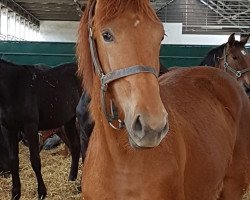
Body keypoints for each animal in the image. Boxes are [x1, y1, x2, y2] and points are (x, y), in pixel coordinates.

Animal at [0, 58, 81, 199]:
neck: (13, 88)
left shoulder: (30, 127)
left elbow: (35, 160)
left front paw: (42, 192)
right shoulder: (8, 129)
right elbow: (13, 160)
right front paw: (15, 194)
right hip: (69, 120)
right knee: (75, 146)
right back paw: (72, 178)